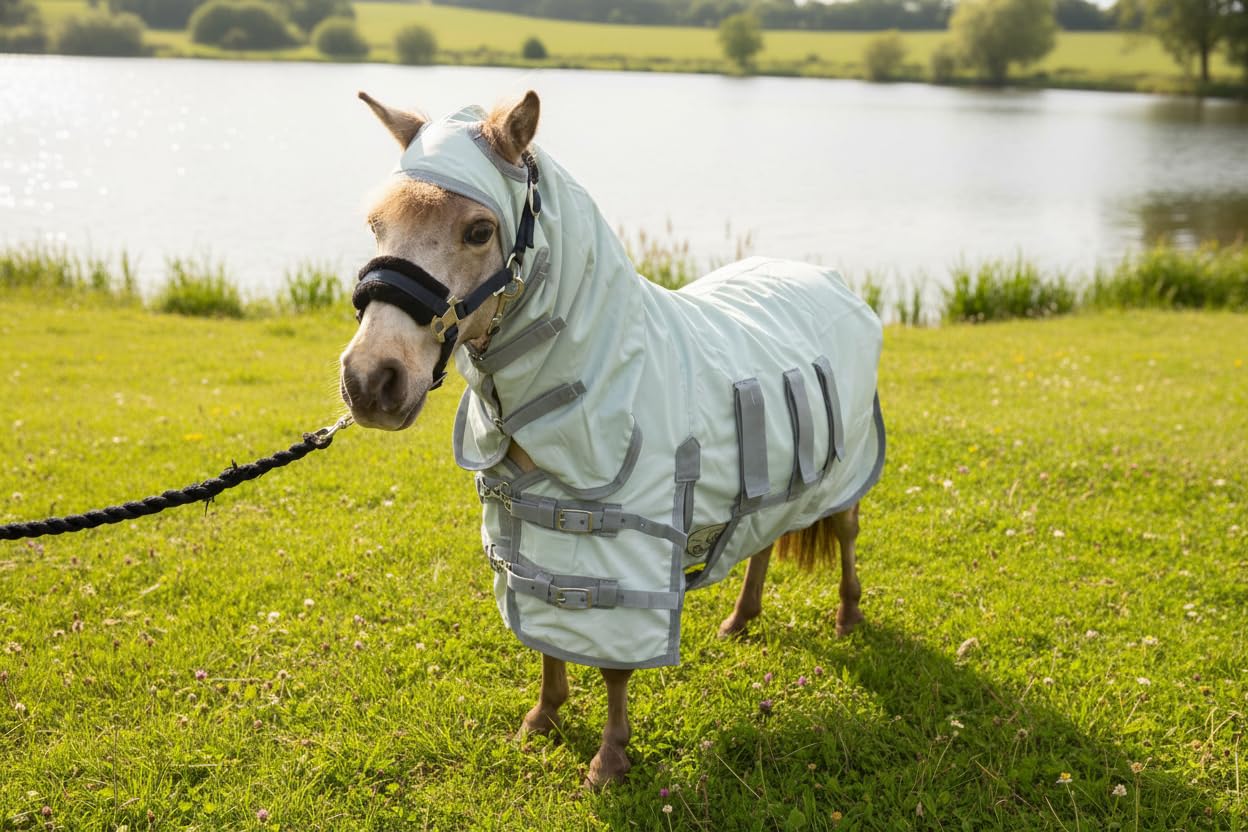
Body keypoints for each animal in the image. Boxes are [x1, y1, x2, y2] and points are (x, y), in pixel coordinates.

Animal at [339, 90, 886, 788]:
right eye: (376, 226)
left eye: (480, 230)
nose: (370, 380)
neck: (609, 372)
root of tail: (827, 277)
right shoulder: (534, 536)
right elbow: (548, 635)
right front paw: (542, 719)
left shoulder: (627, 552)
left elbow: (615, 666)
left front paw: (610, 760)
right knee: (763, 540)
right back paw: (741, 619)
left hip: (845, 474)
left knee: (844, 534)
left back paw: (847, 615)